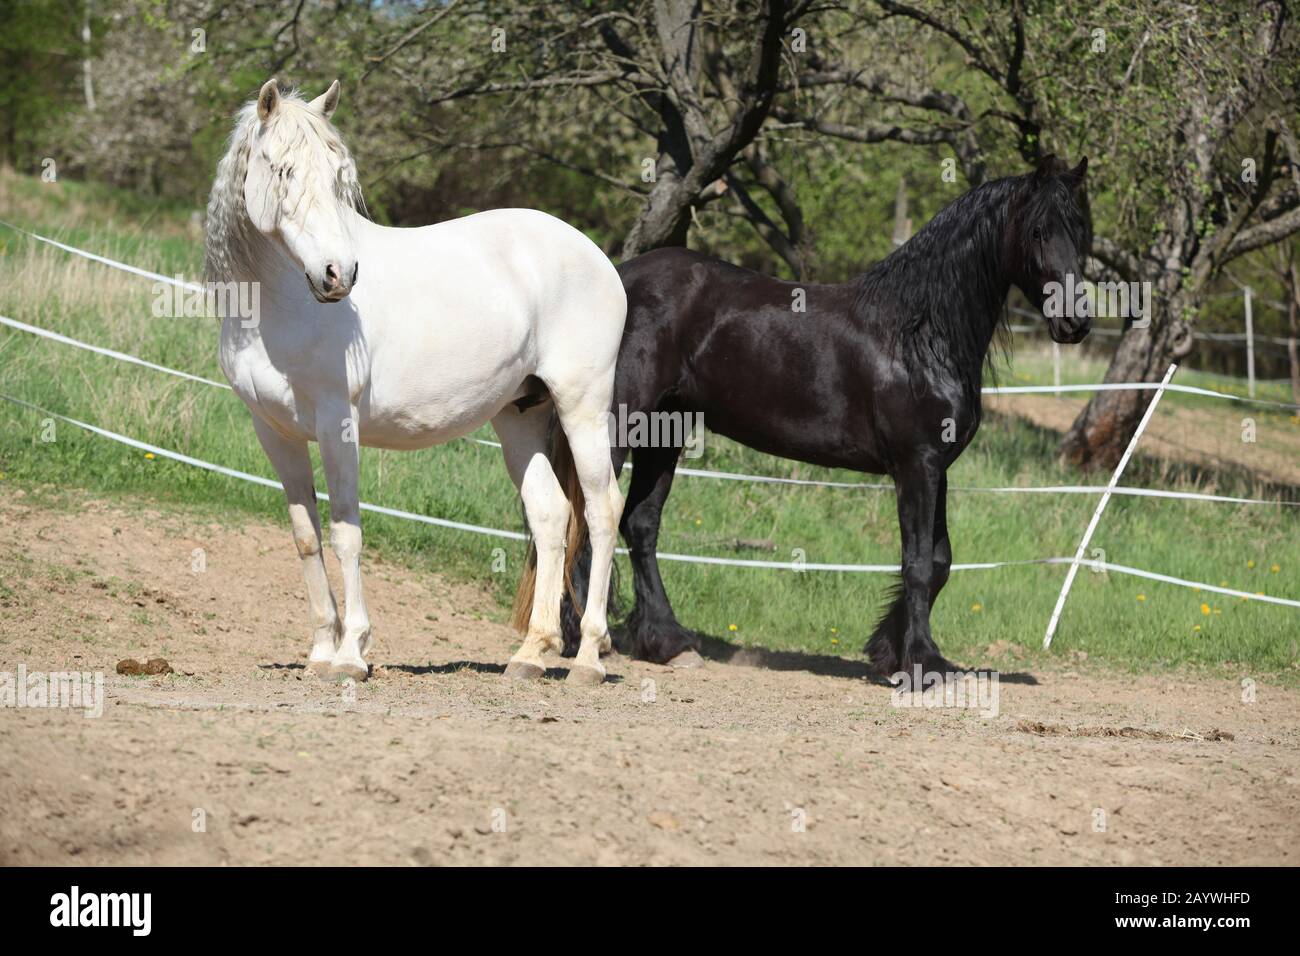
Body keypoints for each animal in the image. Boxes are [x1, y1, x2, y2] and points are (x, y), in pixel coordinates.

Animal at [205, 79, 626, 684]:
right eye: (282, 170)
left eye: (338, 175)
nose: (338, 274)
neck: (280, 306)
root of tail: (596, 256)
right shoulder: (274, 432)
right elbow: (307, 537)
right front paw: (320, 650)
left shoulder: (337, 423)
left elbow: (346, 532)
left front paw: (351, 654)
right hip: (521, 416)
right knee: (551, 515)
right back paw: (529, 655)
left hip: (583, 409)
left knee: (600, 510)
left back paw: (589, 657)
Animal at [551, 155, 1091, 677]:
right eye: (1039, 231)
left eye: (1080, 228)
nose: (1076, 322)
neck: (919, 335)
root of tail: (616, 279)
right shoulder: (917, 465)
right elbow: (918, 563)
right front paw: (921, 661)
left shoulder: (937, 467)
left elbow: (939, 560)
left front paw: (888, 651)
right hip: (618, 424)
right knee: (593, 517)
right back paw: (580, 640)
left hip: (666, 429)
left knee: (640, 524)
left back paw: (669, 644)